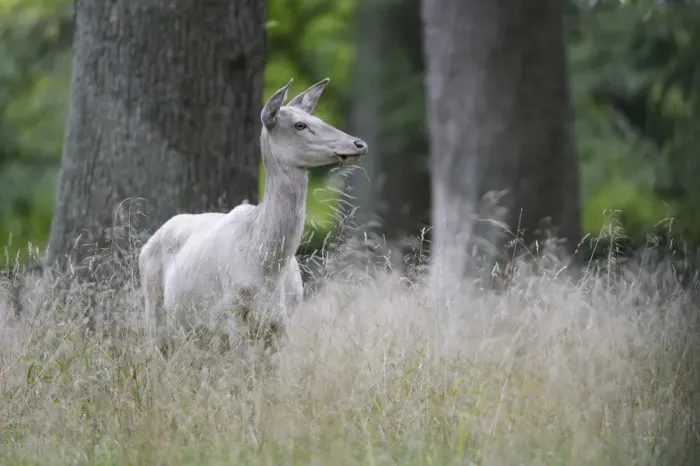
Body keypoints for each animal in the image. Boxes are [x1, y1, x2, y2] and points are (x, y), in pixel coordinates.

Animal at [138, 77, 368, 359]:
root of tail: (147, 244)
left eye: (319, 118)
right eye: (300, 125)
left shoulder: (283, 319)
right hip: (155, 309)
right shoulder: (233, 314)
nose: (358, 144)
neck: (268, 268)